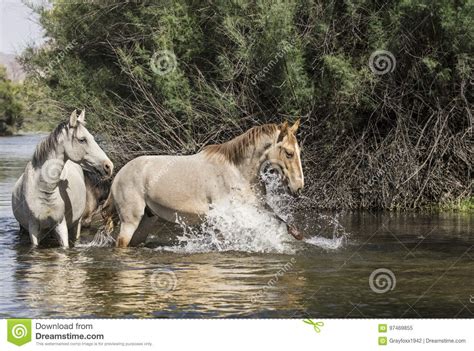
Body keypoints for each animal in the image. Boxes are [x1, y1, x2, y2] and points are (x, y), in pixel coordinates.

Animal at [103, 120, 304, 248]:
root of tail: (119, 175)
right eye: (289, 153)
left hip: (147, 219)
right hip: (130, 220)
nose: (298, 187)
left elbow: (279, 219)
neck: (237, 171)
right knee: (121, 244)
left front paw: (297, 234)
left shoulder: (256, 206)